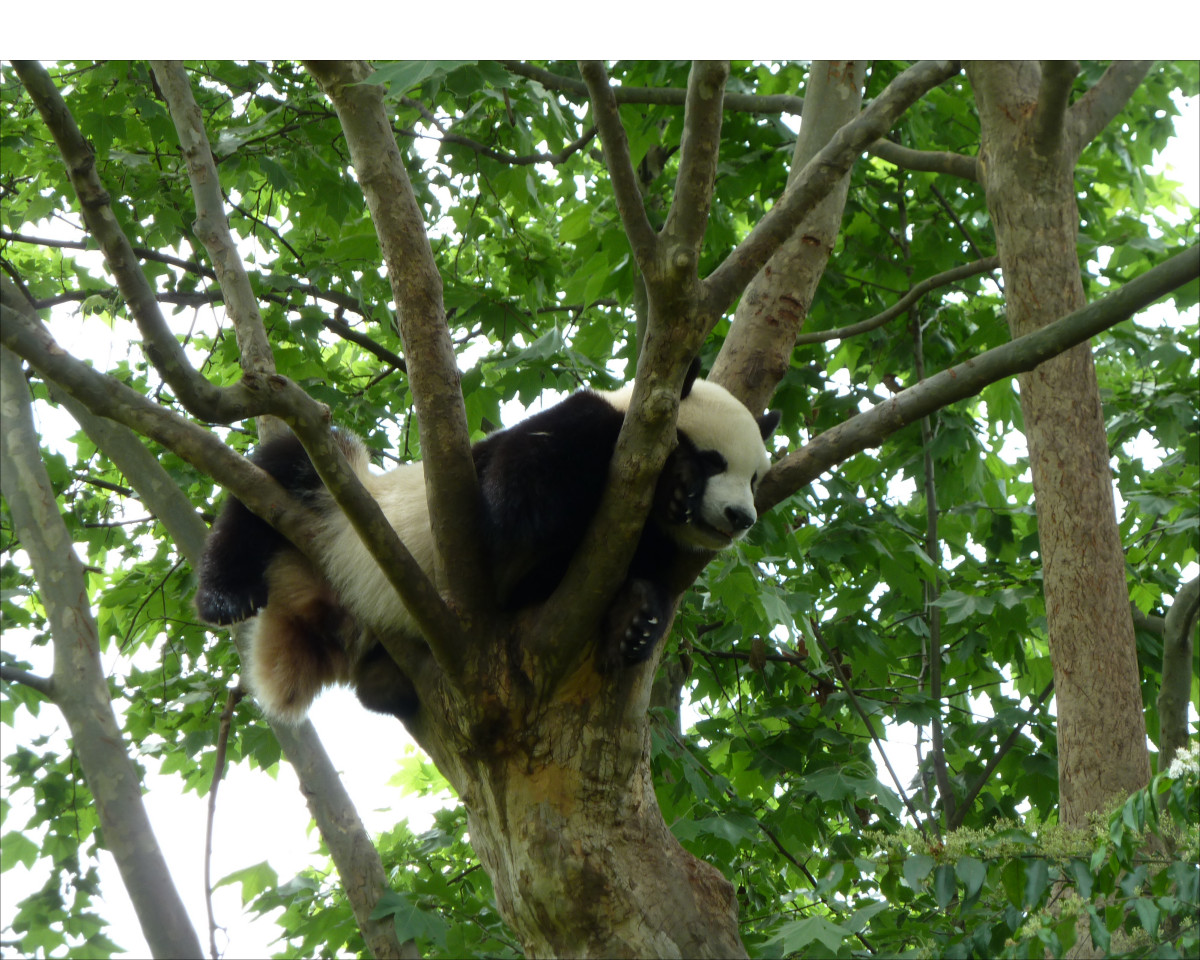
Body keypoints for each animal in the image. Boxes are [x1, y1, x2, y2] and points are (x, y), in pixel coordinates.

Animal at [195, 362, 780, 723]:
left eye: (755, 478)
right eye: (714, 461)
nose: (740, 517)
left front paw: (635, 619)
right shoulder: (576, 432)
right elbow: (520, 501)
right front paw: (676, 484)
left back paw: (386, 683)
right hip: (341, 504)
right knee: (281, 473)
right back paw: (225, 594)